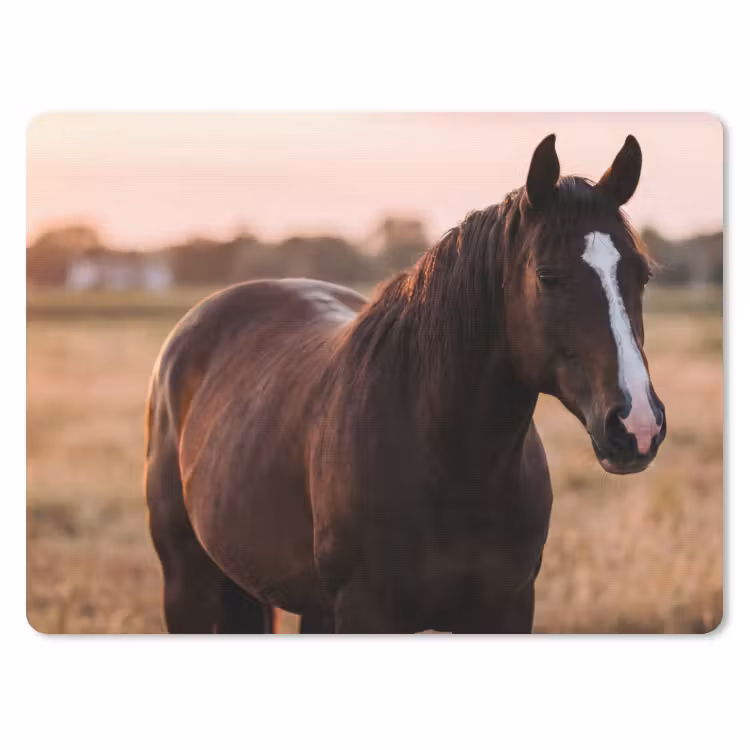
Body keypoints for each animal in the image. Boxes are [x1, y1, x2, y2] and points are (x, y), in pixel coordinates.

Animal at [145, 134, 667, 634]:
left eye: (642, 274)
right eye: (548, 276)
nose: (637, 424)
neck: (451, 464)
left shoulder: (509, 609)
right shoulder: (365, 613)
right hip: (187, 584)